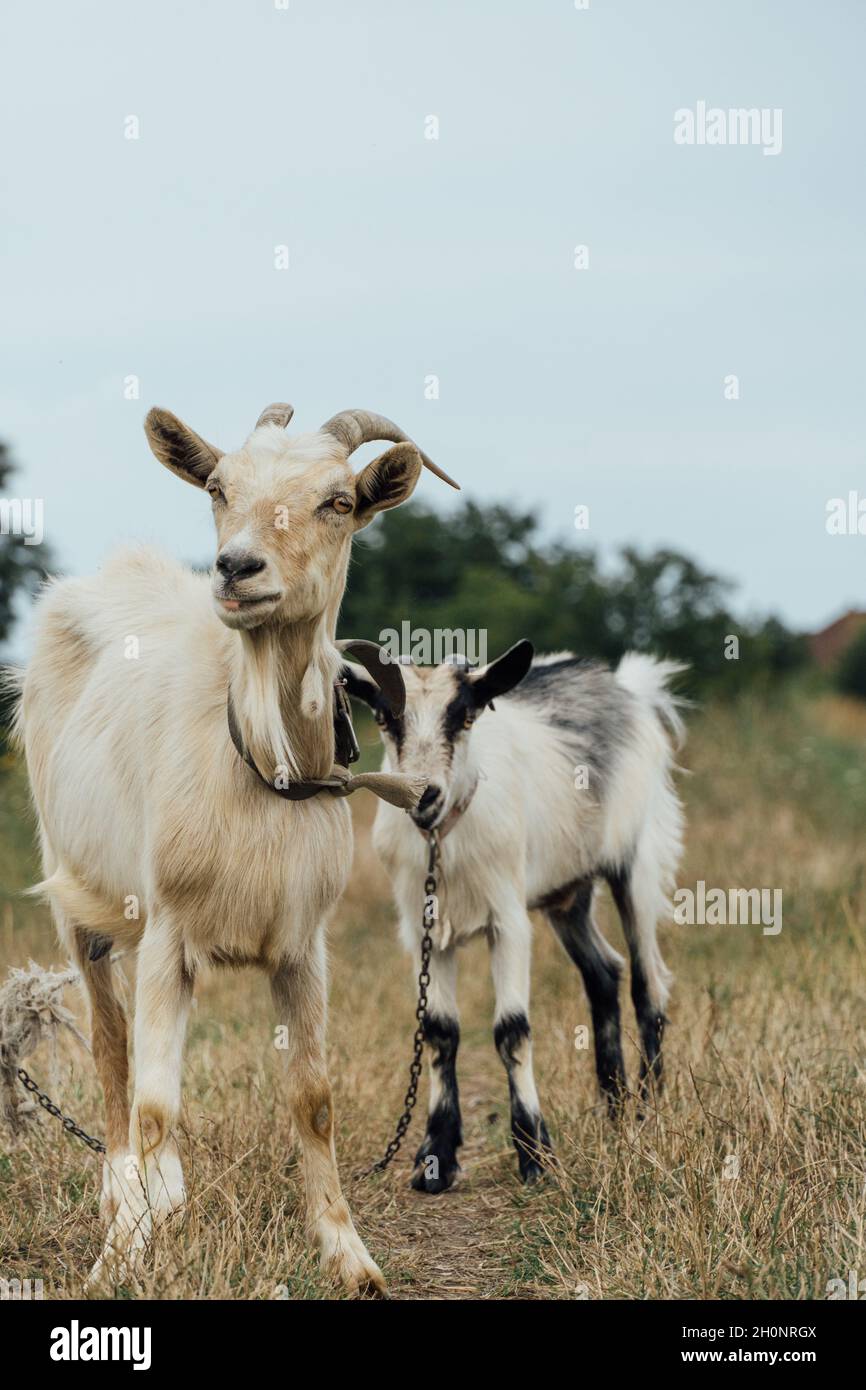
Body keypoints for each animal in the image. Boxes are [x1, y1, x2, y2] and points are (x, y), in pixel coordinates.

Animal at [10, 402, 456, 1294]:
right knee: (112, 1050)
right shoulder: (168, 931)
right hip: (80, 896)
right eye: (219, 487)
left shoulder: (303, 946)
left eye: (338, 501)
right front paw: (120, 1258)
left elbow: (313, 1100)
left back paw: (164, 1194)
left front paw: (349, 1255)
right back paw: (126, 1196)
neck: (258, 757)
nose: (236, 567)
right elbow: (152, 1103)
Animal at [344, 642, 685, 1190]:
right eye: (383, 716)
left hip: (637, 864)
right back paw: (613, 1107)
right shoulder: (426, 929)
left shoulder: (507, 922)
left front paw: (534, 1153)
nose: (424, 796)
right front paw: (435, 1157)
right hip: (568, 896)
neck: (447, 835)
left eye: (464, 716)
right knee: (603, 972)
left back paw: (648, 1110)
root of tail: (625, 687)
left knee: (646, 980)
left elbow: (511, 1029)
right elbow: (440, 1030)